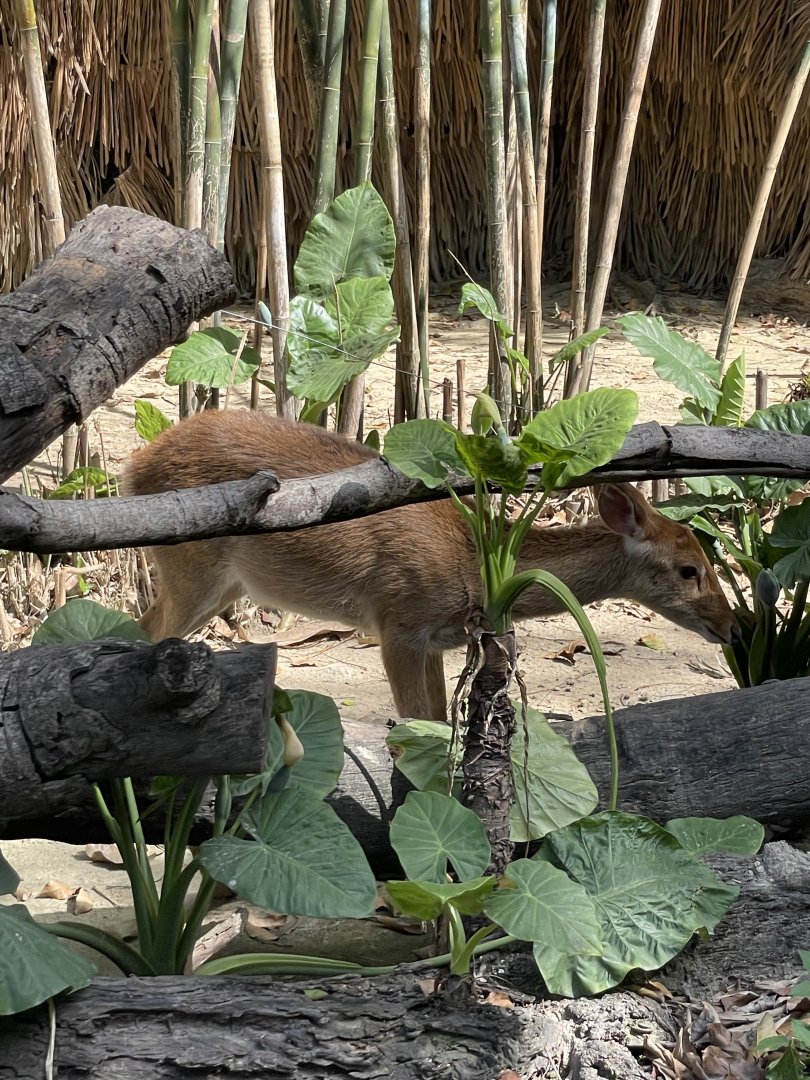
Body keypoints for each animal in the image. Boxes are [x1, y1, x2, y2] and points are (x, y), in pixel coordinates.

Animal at [125, 409, 739, 722]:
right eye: (689, 568)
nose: (733, 626)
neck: (470, 562)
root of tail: (132, 468)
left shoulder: (440, 642)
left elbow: (440, 720)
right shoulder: (397, 620)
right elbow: (416, 726)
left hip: (225, 584)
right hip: (190, 567)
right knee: (145, 629)